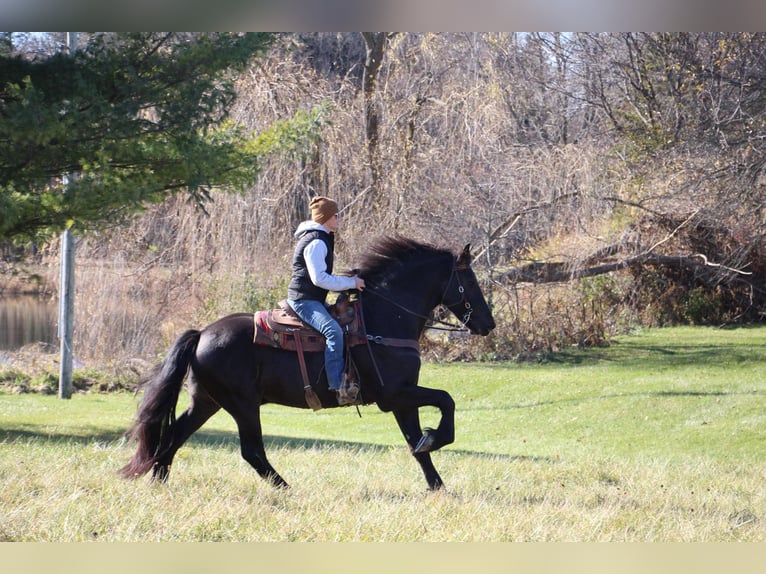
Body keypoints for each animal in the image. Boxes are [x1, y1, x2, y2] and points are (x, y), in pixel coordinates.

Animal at [118, 236, 496, 492]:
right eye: (469, 281)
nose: (489, 323)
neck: (383, 318)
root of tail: (202, 333)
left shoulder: (402, 399)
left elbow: (415, 443)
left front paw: (438, 486)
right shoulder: (397, 395)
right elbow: (446, 401)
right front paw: (436, 440)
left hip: (206, 402)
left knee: (174, 436)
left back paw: (158, 482)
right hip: (242, 405)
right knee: (251, 450)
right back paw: (286, 488)